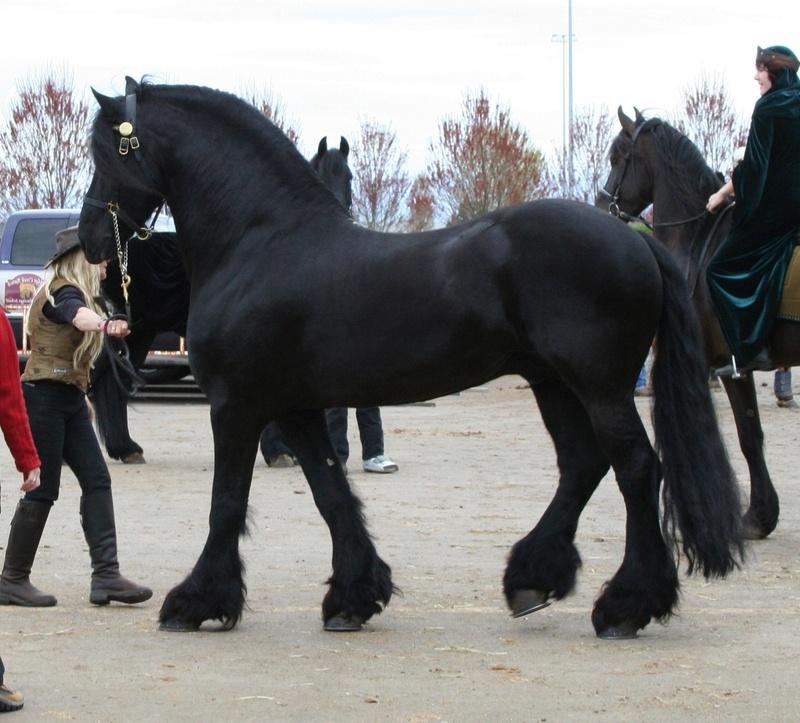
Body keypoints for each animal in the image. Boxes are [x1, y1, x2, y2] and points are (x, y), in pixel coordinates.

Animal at [78, 78, 743, 640]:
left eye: (106, 155)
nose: (88, 237)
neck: (261, 242)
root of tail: (634, 240)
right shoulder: (294, 408)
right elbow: (330, 492)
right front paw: (354, 596)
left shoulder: (237, 406)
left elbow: (226, 504)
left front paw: (195, 602)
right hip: (553, 383)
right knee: (582, 466)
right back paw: (532, 580)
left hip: (599, 387)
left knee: (636, 469)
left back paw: (625, 604)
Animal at [599, 107, 800, 540]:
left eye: (617, 157)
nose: (601, 201)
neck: (698, 238)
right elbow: (751, 433)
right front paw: (761, 515)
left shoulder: (715, 363)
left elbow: (738, 436)